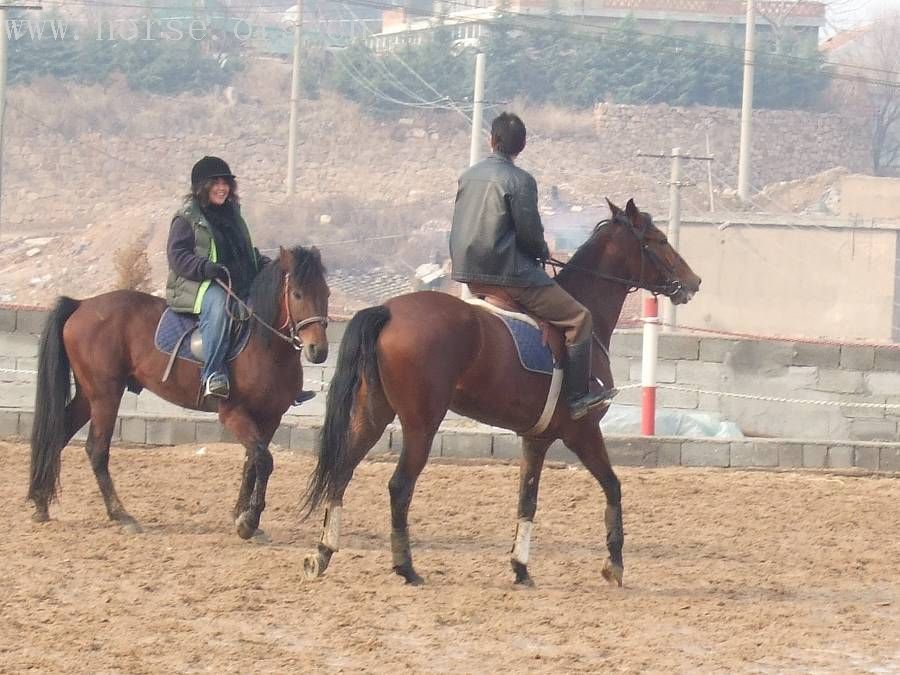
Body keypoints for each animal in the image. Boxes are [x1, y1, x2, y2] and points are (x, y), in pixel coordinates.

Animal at [27, 244, 330, 540]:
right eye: (297, 294)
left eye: (326, 293)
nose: (319, 350)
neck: (263, 345)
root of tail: (81, 304)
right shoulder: (234, 413)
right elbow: (264, 461)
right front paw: (248, 521)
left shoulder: (270, 418)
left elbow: (252, 463)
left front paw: (240, 515)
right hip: (105, 395)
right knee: (97, 450)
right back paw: (121, 515)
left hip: (88, 396)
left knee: (58, 436)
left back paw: (41, 503)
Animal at [302, 199, 704, 588]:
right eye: (659, 240)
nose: (694, 281)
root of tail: (388, 310)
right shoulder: (583, 432)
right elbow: (613, 486)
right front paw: (614, 564)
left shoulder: (537, 439)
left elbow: (527, 501)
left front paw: (521, 567)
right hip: (421, 425)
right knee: (399, 487)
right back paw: (407, 567)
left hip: (372, 414)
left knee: (342, 472)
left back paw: (323, 553)